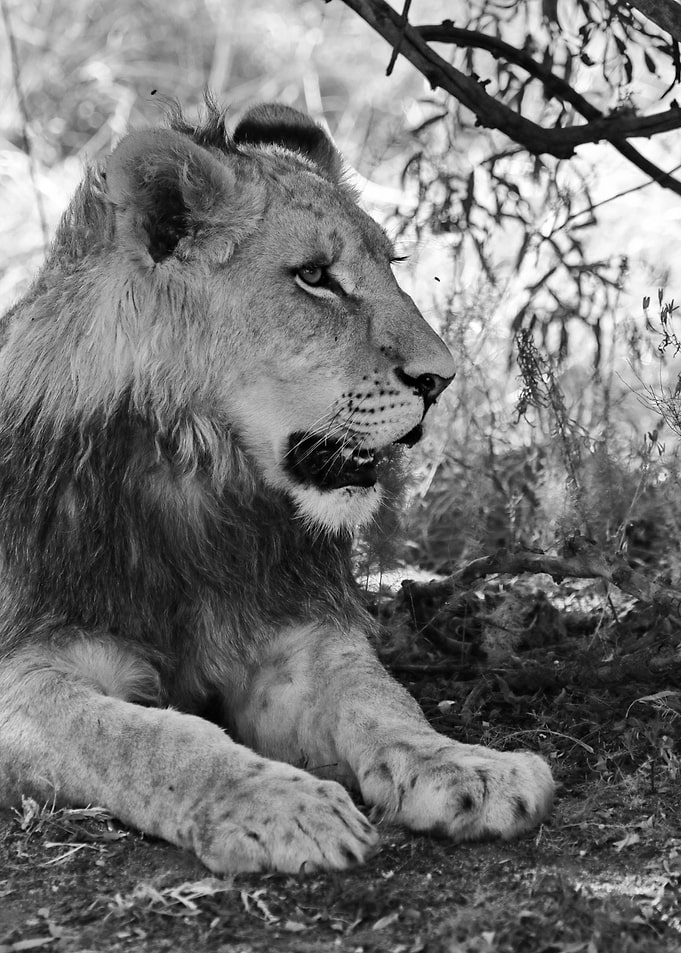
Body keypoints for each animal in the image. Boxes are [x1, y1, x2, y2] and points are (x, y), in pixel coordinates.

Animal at [0, 100, 553, 873]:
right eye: (315, 276)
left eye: (392, 265)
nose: (441, 380)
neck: (197, 484)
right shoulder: (25, 667)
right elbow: (150, 739)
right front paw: (281, 806)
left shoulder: (295, 643)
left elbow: (381, 700)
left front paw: (469, 766)